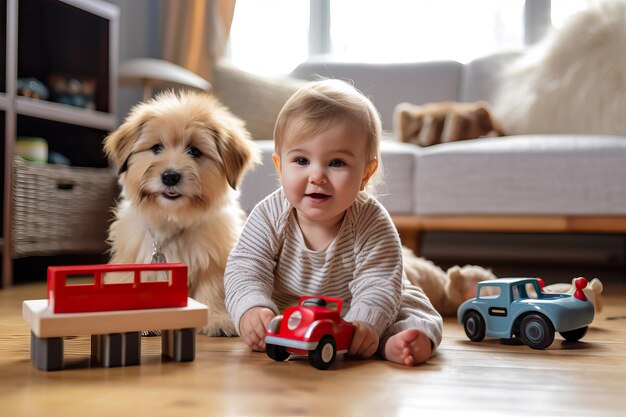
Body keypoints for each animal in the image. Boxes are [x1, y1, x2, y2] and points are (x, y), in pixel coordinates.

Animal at [104, 90, 258, 334]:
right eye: (157, 148)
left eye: (194, 151)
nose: (170, 176)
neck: (173, 219)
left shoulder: (214, 262)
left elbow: (213, 290)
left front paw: (217, 318)